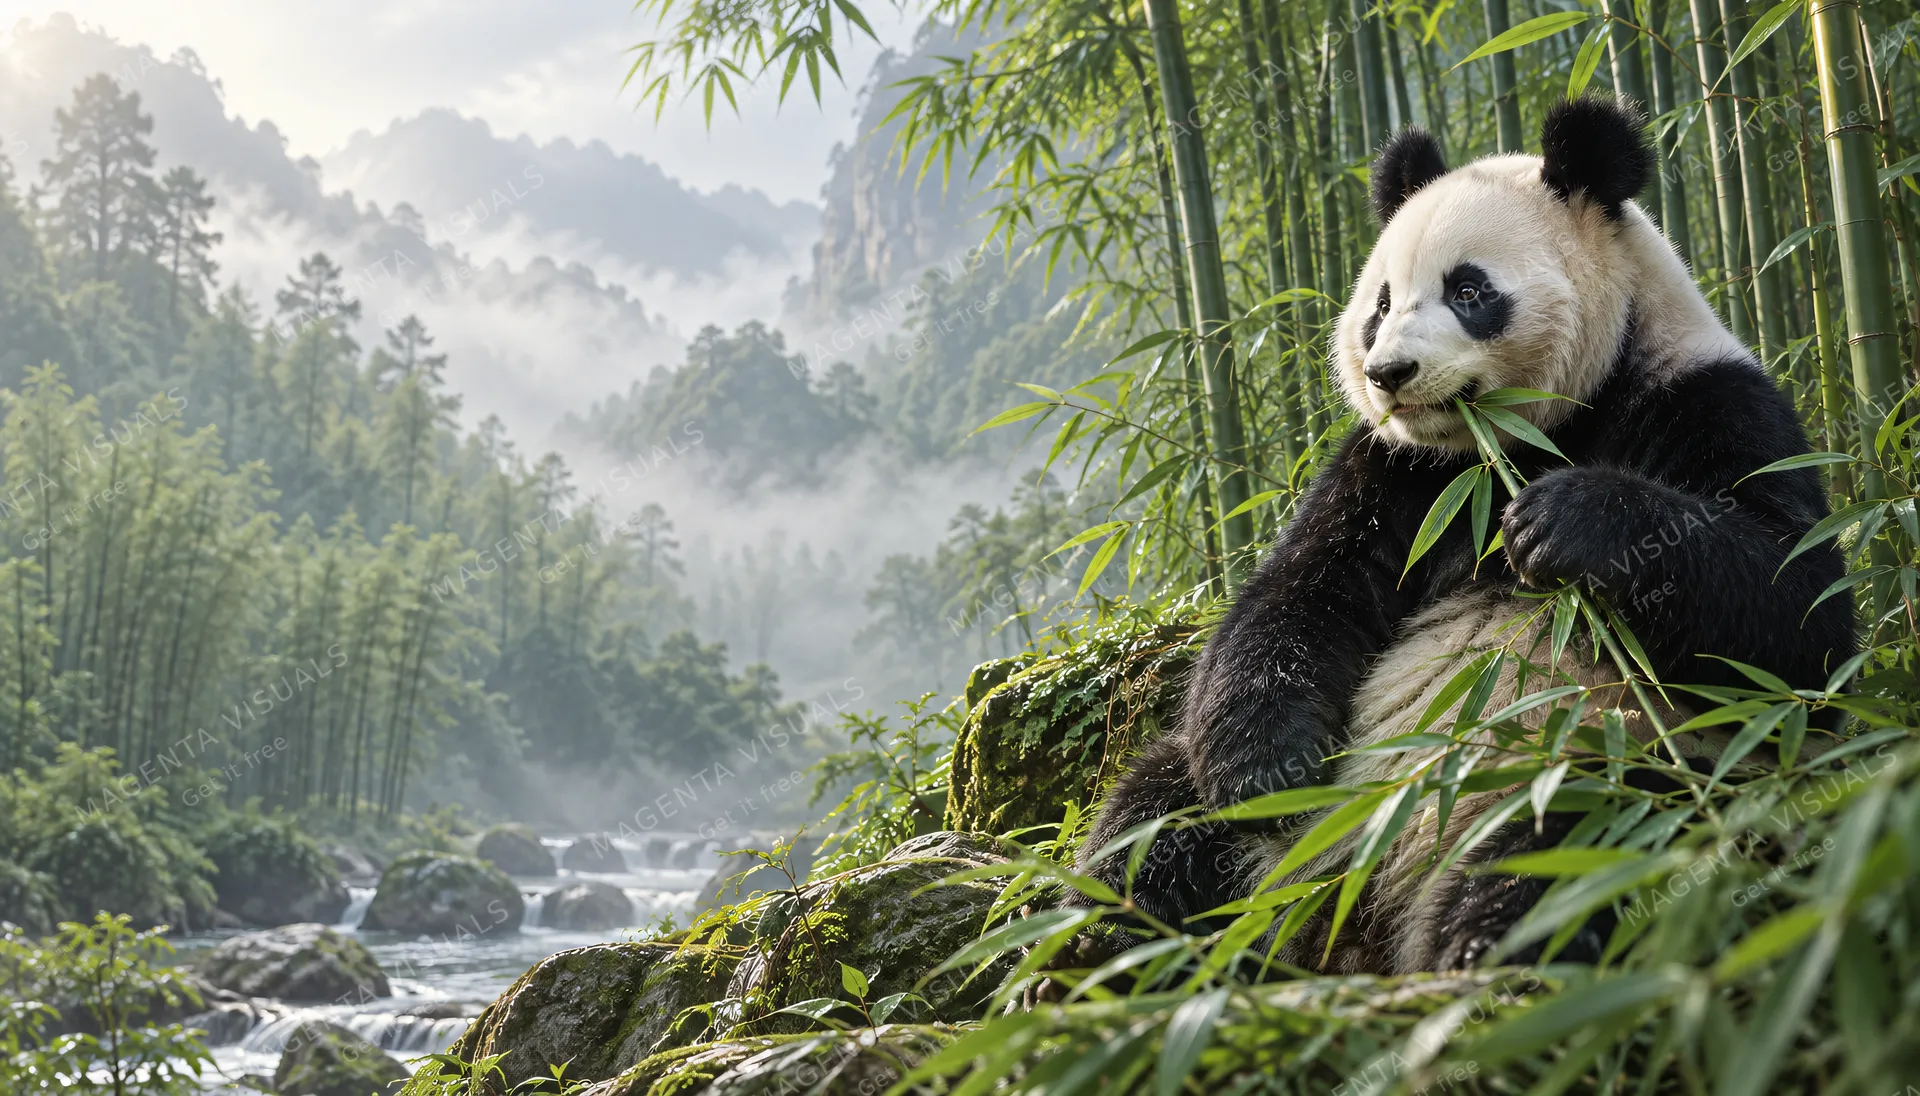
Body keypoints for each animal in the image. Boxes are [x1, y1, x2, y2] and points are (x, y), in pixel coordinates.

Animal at [1075, 97, 1856, 974]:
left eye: (1469, 289)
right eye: (1381, 303)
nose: (1388, 374)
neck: (1520, 442)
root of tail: (1353, 914)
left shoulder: (1709, 399)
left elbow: (1796, 619)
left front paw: (1563, 522)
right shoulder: (1396, 473)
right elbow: (1297, 596)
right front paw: (1272, 769)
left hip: (1590, 763)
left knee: (1576, 849)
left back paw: (1486, 960)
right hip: (1295, 826)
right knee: (1157, 816)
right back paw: (1094, 952)